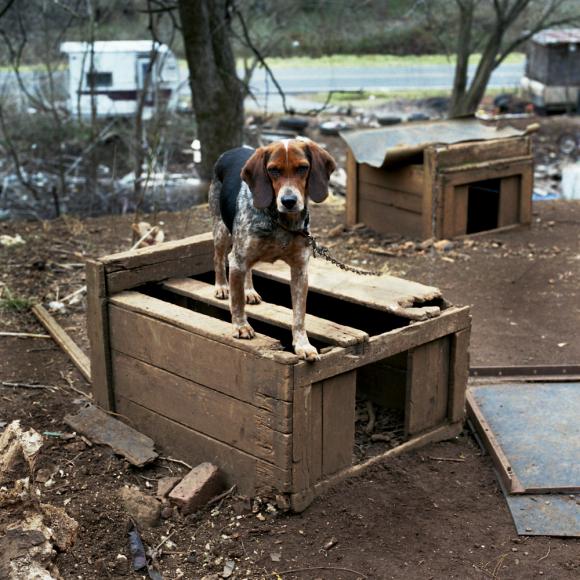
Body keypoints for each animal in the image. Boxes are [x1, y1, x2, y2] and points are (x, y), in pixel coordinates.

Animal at [208, 138, 338, 360]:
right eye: (273, 171)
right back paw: (222, 287)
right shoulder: (238, 259)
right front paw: (241, 327)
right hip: (221, 231)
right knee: (218, 259)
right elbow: (237, 301)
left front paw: (303, 344)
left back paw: (249, 290)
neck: (280, 222)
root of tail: (230, 151)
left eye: (302, 168)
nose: (289, 201)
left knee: (248, 271)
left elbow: (299, 315)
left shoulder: (300, 269)